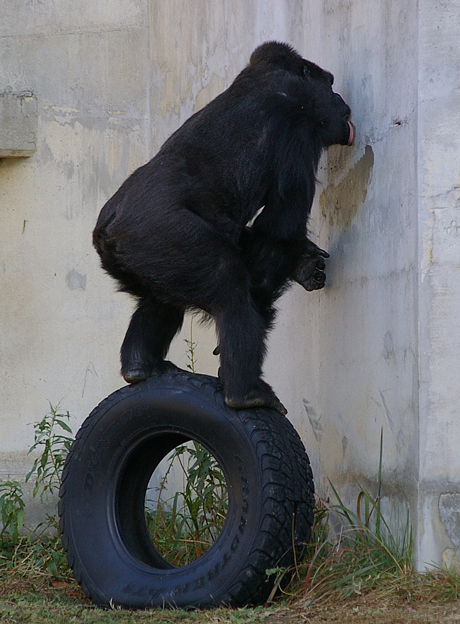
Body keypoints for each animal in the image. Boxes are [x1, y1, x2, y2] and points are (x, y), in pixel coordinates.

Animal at [91, 41, 354, 416]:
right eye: (329, 86)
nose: (341, 100)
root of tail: (108, 229)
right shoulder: (299, 128)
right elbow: (278, 229)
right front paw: (284, 275)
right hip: (156, 236)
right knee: (227, 282)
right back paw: (245, 391)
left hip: (144, 256)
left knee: (162, 299)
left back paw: (141, 366)